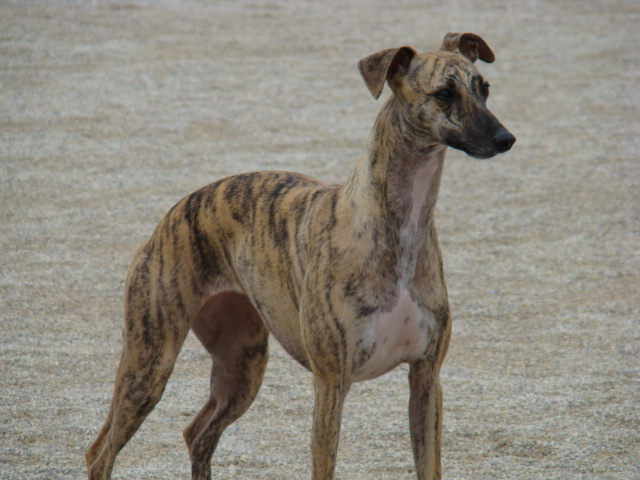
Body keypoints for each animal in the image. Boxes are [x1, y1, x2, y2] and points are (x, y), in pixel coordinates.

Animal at [86, 31, 516, 478]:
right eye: (444, 93)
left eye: (484, 89)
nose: (506, 139)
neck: (394, 228)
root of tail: (168, 217)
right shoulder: (330, 383)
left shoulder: (426, 378)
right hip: (149, 363)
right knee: (100, 453)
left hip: (241, 366)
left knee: (197, 434)